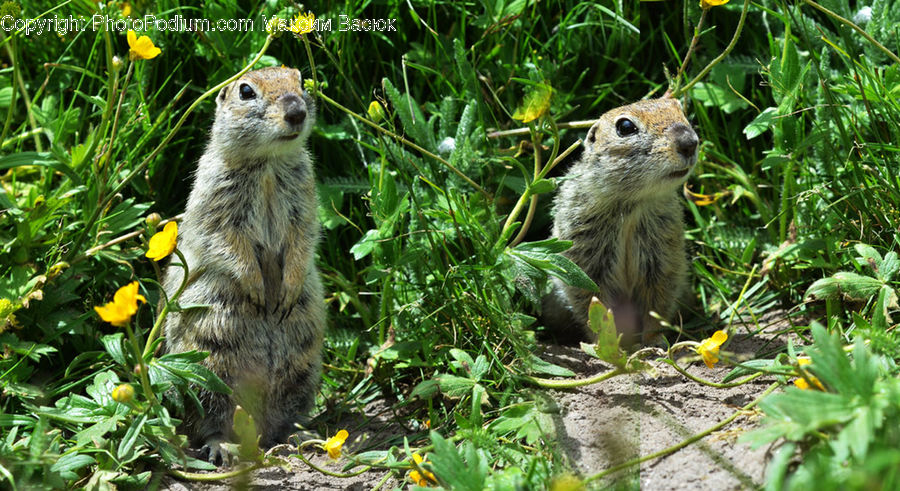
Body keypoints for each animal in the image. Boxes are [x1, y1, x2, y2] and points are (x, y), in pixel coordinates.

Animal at [162, 67, 325, 465]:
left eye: (300, 80)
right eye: (246, 91)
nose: (296, 112)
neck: (268, 162)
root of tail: (258, 428)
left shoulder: (304, 197)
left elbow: (303, 237)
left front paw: (286, 289)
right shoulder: (217, 198)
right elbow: (227, 242)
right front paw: (257, 290)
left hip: (303, 370)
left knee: (286, 416)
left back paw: (301, 435)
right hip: (207, 370)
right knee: (208, 420)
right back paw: (222, 447)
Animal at [544, 97, 698, 345]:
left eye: (679, 109)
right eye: (625, 127)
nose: (689, 142)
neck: (632, 205)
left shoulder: (663, 256)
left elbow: (657, 301)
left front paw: (653, 342)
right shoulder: (585, 258)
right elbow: (590, 303)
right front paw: (607, 344)